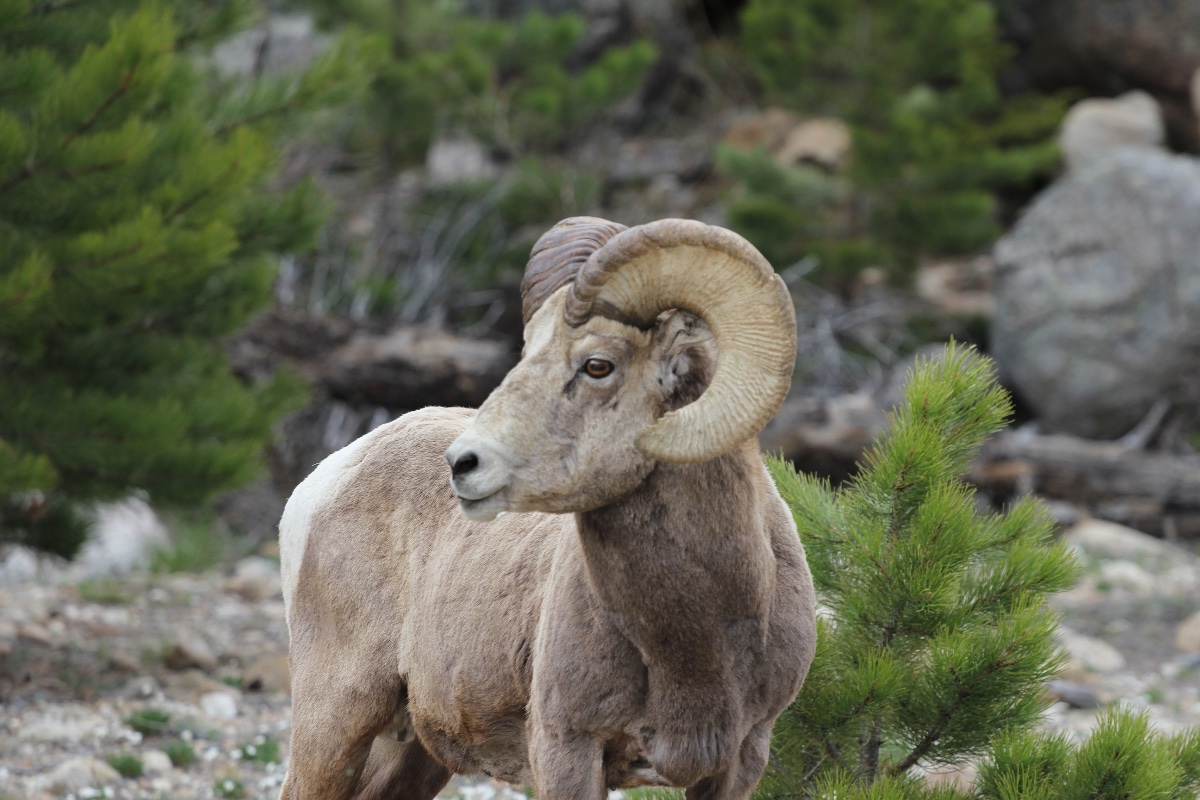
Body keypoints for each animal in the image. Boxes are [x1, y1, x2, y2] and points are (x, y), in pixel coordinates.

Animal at [277, 217, 817, 800]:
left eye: (598, 364)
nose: (463, 464)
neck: (694, 638)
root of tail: (328, 475)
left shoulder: (740, 760)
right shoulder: (567, 748)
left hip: (411, 754)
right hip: (335, 723)